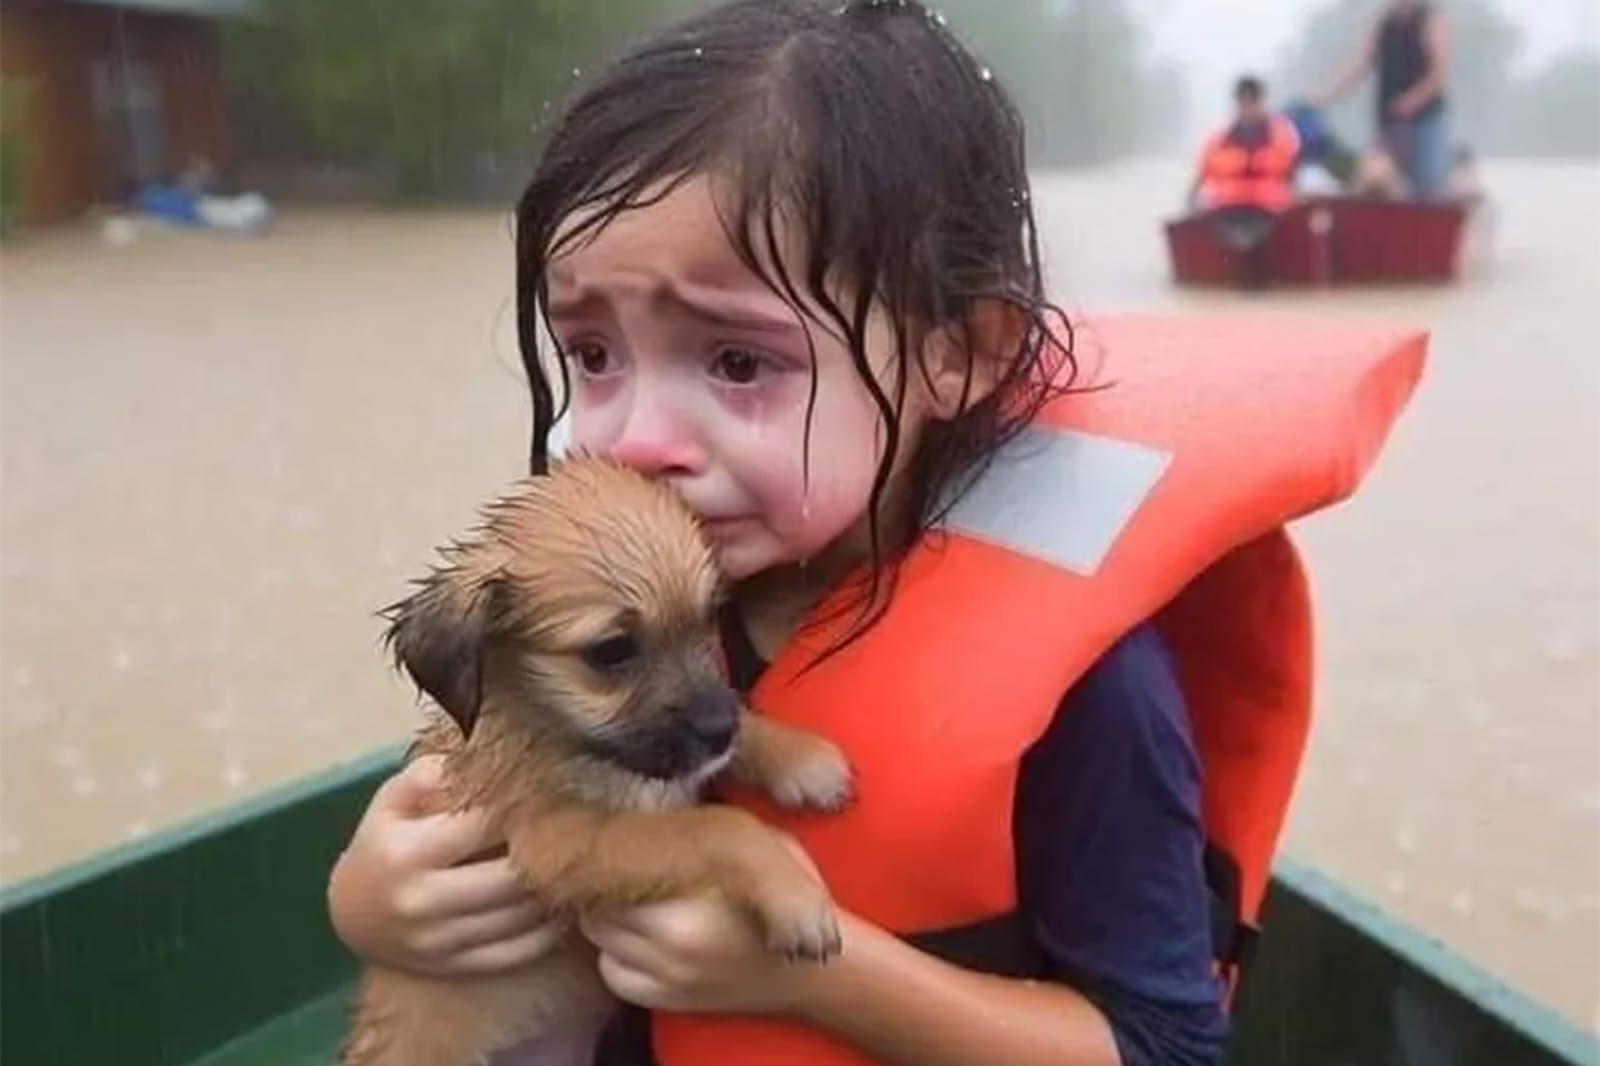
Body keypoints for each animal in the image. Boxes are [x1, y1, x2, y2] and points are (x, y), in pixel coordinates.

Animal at [345, 457, 857, 1062]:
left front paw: (801, 760)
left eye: (709, 617)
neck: (551, 727)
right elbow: (715, 826)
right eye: (612, 650)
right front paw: (794, 894)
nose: (718, 731)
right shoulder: (558, 841)